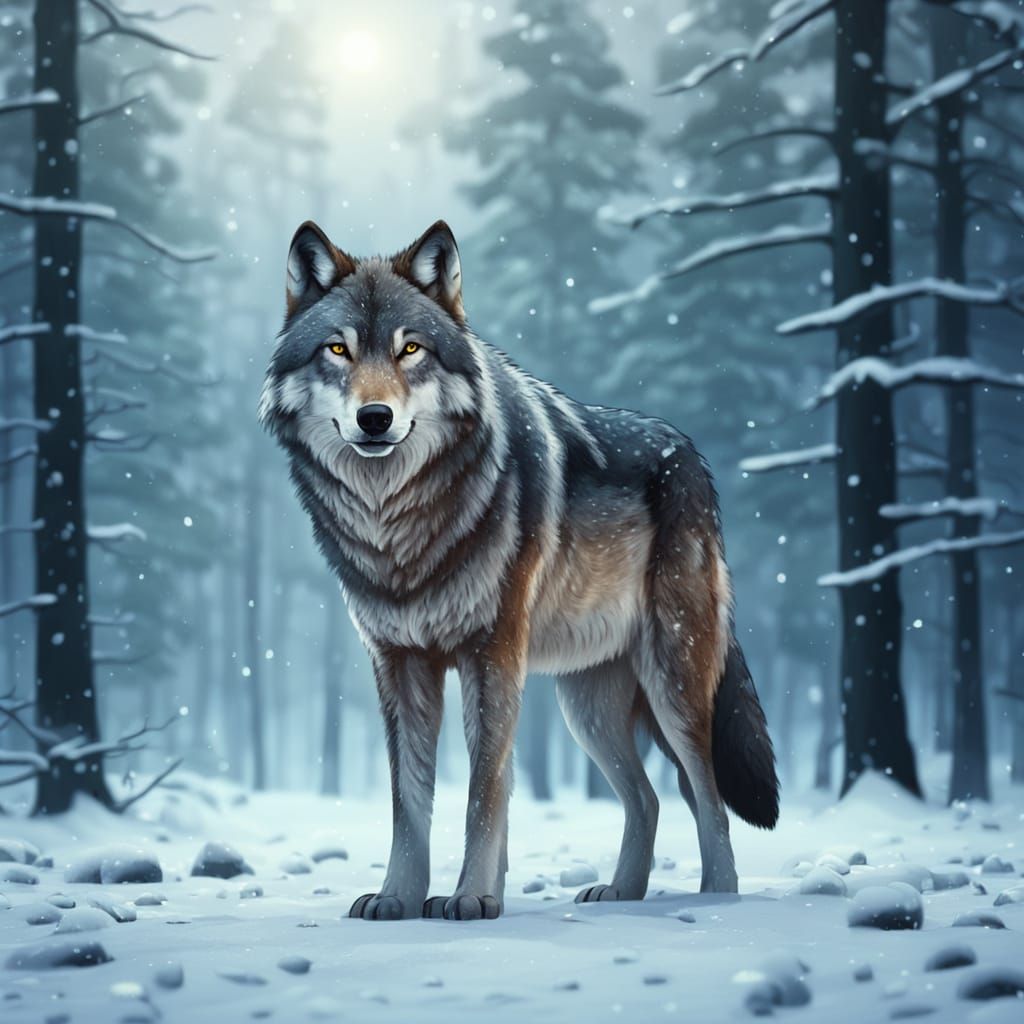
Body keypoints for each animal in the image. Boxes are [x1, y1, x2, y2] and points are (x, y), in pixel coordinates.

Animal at [260, 220, 779, 921]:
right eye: (337, 349)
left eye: (411, 349)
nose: (375, 418)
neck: (397, 522)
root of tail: (695, 457)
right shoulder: (399, 661)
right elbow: (408, 801)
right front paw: (398, 897)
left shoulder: (493, 653)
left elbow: (486, 789)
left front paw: (473, 897)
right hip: (586, 707)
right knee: (649, 797)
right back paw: (620, 893)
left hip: (671, 683)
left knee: (708, 797)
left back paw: (717, 900)